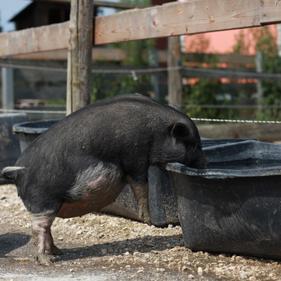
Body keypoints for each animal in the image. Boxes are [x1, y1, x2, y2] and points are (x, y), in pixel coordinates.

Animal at [1, 94, 205, 262]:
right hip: (43, 200)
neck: (155, 132)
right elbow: (140, 185)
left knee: (46, 228)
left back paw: (59, 252)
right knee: (38, 228)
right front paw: (147, 219)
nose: (205, 164)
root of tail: (19, 172)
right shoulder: (135, 157)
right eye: (193, 144)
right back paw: (47, 260)